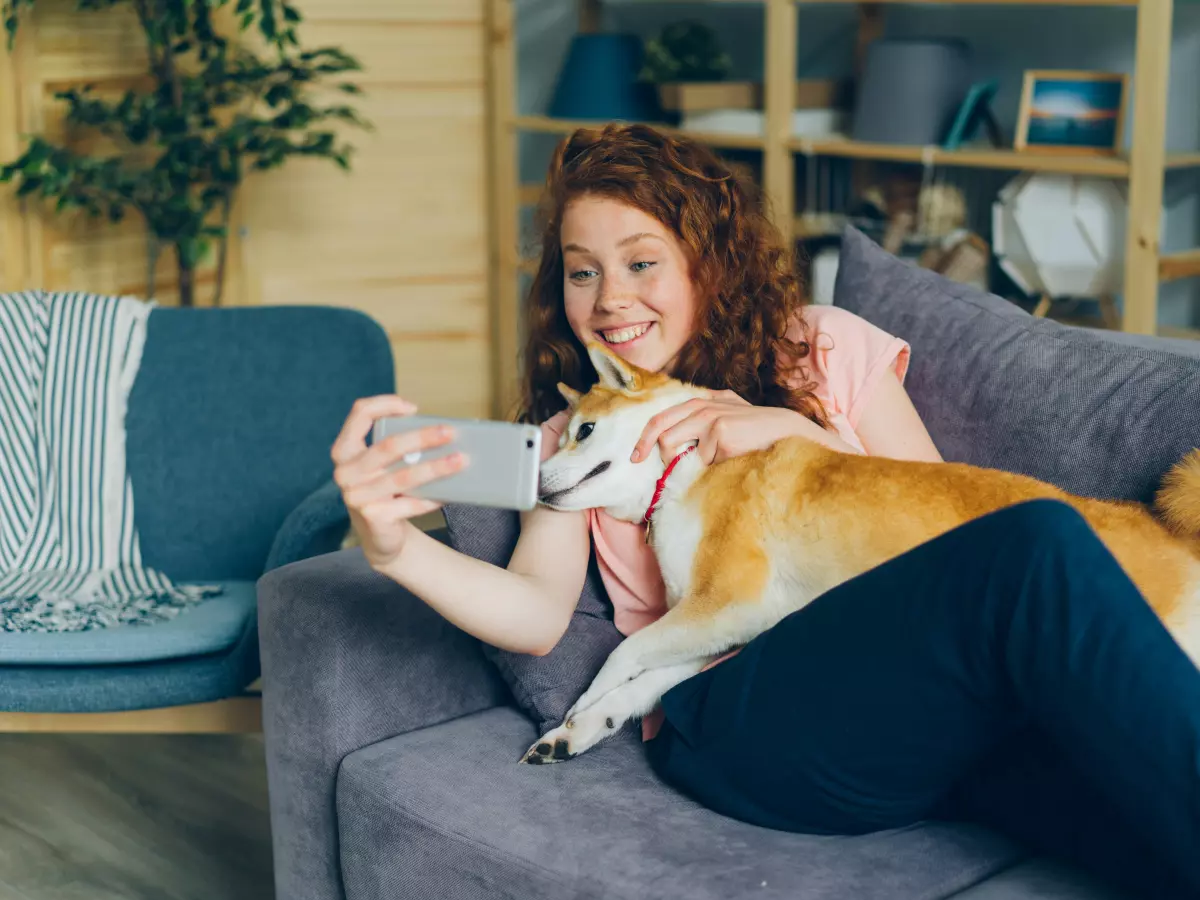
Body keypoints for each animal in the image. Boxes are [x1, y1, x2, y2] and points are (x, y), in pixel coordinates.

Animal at [523, 340, 1200, 763]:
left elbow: (624, 653)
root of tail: (1169, 532)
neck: (684, 467)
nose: (533, 481)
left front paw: (580, 704)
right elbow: (644, 684)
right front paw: (579, 730)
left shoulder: (731, 601)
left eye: (583, 431)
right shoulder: (728, 626)